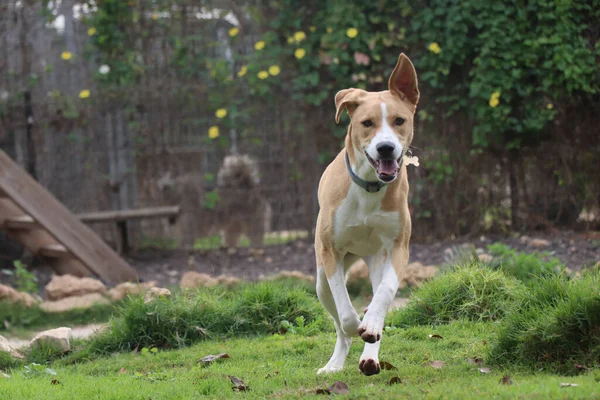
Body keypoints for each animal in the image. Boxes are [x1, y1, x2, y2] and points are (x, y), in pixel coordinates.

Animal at [316, 52, 420, 376]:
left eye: (399, 120)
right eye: (367, 123)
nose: (385, 148)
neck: (370, 188)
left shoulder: (398, 247)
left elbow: (384, 293)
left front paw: (371, 326)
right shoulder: (331, 252)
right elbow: (345, 308)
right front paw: (355, 324)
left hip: (378, 259)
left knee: (378, 297)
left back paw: (370, 354)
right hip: (320, 281)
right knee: (339, 324)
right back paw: (335, 362)